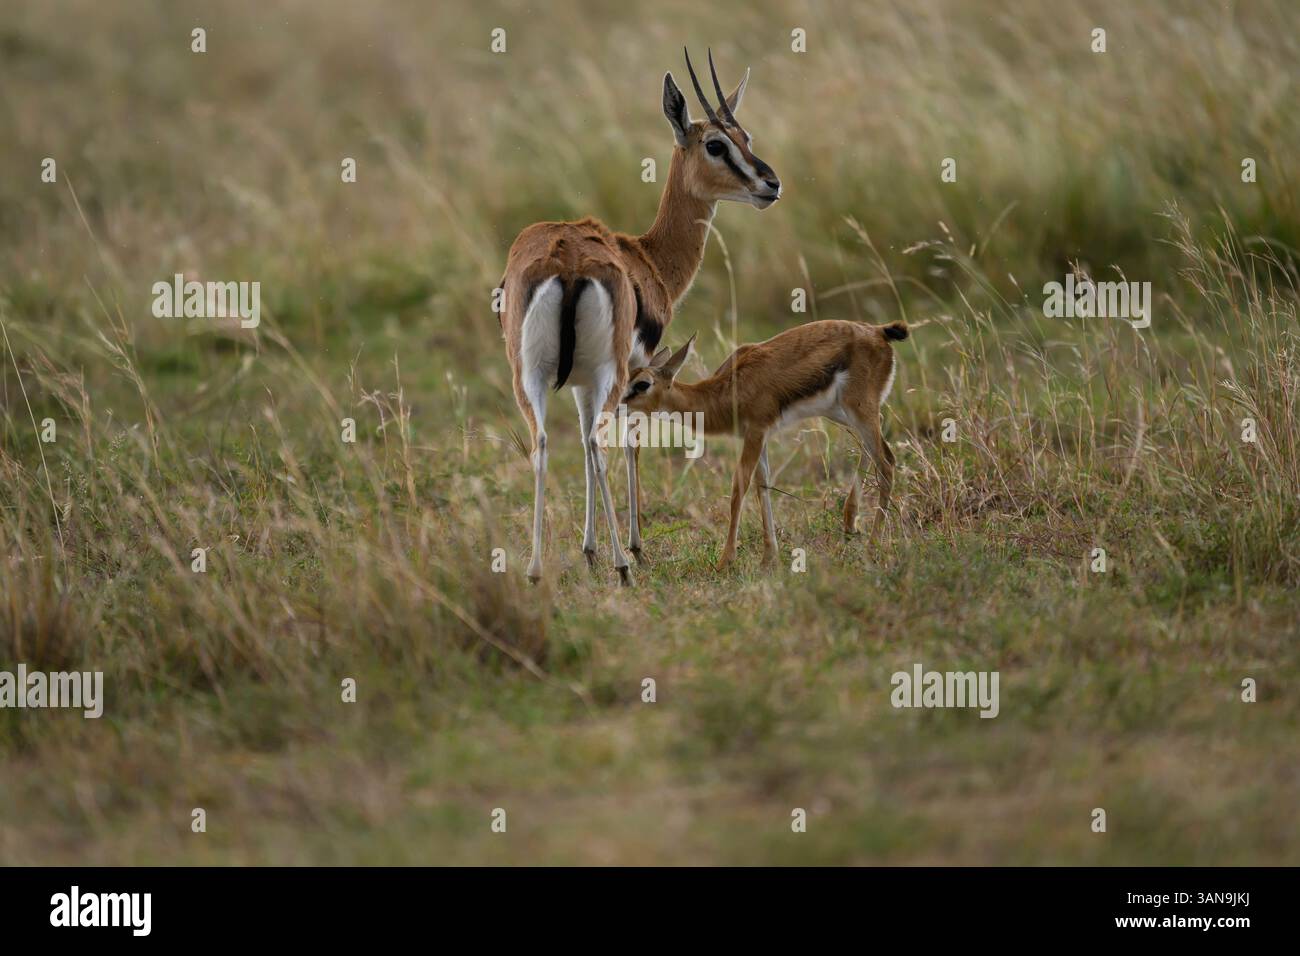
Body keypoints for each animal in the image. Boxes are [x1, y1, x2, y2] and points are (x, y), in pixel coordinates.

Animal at [499, 49, 781, 584]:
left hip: (530, 377)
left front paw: (588, 549)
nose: (770, 185)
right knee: (602, 442)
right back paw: (622, 565)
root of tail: (567, 259)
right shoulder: (635, 368)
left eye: (746, 138)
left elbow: (581, 446)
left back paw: (537, 570)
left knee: (545, 442)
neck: (646, 257)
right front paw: (633, 545)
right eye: (716, 144)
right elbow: (628, 441)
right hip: (606, 374)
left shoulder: (582, 382)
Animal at [620, 319, 910, 569]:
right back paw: (850, 524)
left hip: (858, 410)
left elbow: (740, 486)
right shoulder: (759, 437)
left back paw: (871, 548)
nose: (617, 404)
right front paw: (769, 557)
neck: (727, 390)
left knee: (887, 462)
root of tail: (878, 331)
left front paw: (725, 561)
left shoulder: (756, 432)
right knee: (874, 444)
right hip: (844, 412)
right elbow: (763, 486)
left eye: (642, 384)